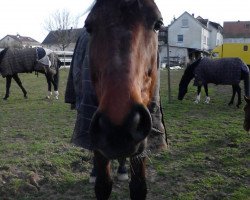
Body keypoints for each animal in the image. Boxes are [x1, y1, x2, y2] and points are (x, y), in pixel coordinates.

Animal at [85, 0, 163, 200]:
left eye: (158, 24)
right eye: (88, 27)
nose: (118, 127)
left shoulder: (142, 143)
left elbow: (138, 187)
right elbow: (103, 185)